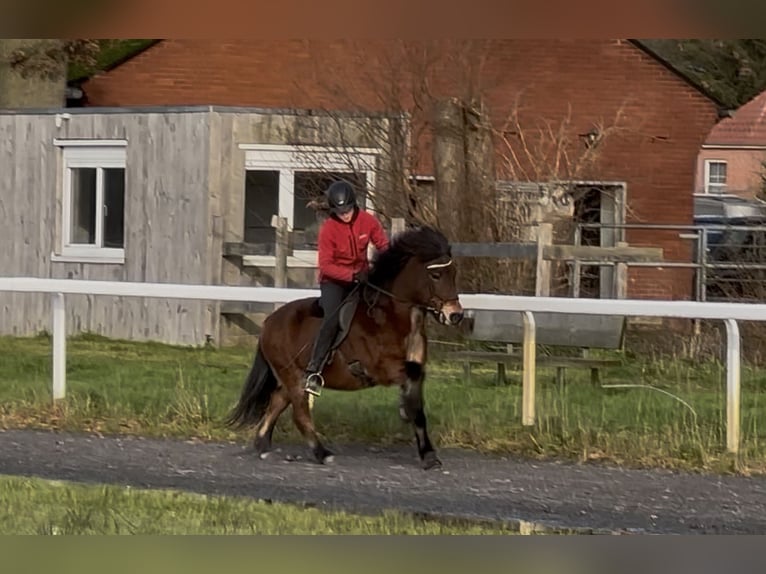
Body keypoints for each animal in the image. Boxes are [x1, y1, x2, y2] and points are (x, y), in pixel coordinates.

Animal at [225, 225, 464, 470]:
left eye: (453, 272)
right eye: (435, 275)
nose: (455, 315)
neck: (389, 317)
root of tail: (268, 323)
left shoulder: (415, 368)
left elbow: (417, 406)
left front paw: (428, 454)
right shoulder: (383, 369)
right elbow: (413, 400)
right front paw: (423, 445)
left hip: (290, 378)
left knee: (277, 402)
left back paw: (264, 446)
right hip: (293, 377)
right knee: (300, 414)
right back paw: (322, 454)